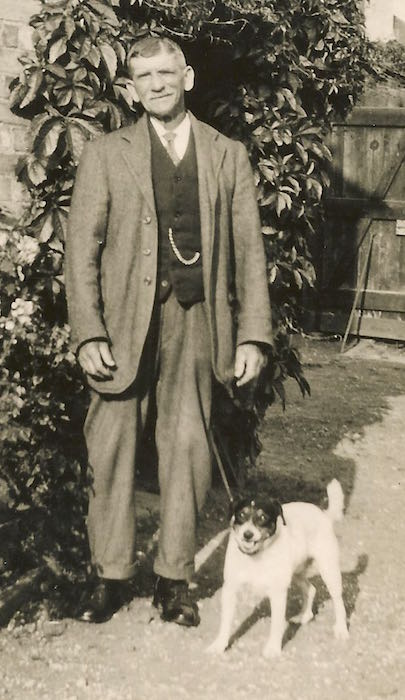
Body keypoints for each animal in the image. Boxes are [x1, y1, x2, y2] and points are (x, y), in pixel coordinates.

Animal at [207, 478, 348, 660]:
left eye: (262, 517)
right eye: (241, 515)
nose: (247, 535)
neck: (256, 556)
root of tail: (324, 514)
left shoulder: (277, 593)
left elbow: (276, 624)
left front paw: (273, 649)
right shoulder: (230, 589)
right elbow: (225, 623)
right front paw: (218, 645)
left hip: (328, 569)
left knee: (338, 600)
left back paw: (341, 629)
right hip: (296, 572)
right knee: (311, 589)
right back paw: (304, 616)